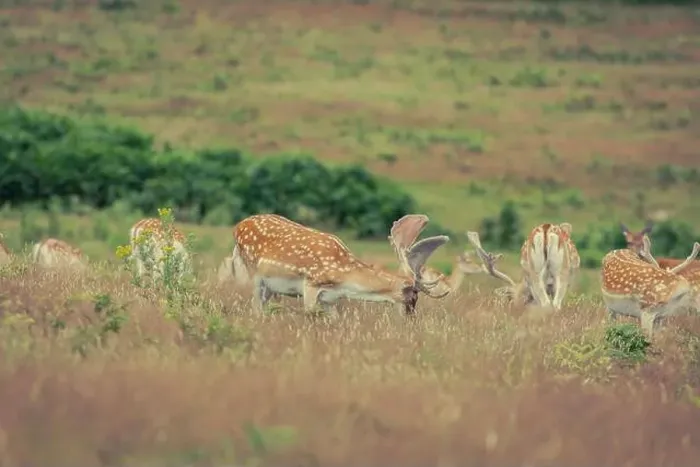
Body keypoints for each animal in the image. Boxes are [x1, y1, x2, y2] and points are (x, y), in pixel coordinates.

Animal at [230, 213, 449, 315]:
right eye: (413, 296)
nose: (412, 316)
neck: (344, 277)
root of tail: (237, 227)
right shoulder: (311, 283)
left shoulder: (329, 298)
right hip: (253, 273)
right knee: (255, 306)